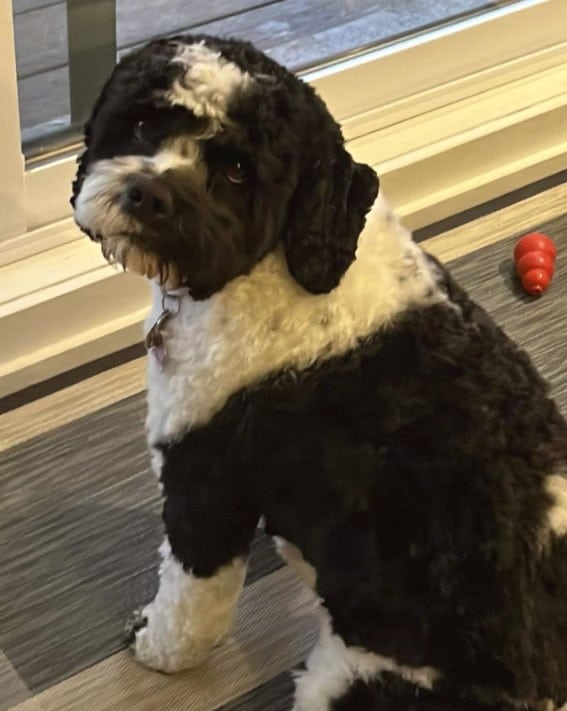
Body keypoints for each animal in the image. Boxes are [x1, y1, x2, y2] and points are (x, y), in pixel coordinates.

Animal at [72, 36, 567, 711]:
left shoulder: (208, 484)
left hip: (349, 678)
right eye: (145, 122)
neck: (279, 263)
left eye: (238, 170)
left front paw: (156, 648)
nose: (147, 194)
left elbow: (189, 601)